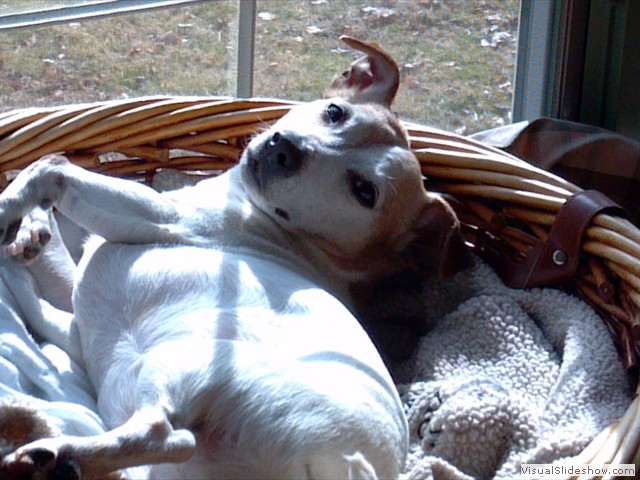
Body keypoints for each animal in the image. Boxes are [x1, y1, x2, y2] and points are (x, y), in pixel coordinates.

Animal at [0, 35, 470, 478]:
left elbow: (52, 167)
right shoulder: (73, 326)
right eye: (335, 112)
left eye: (365, 192)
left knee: (166, 434)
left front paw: (10, 207)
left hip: (184, 365)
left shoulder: (160, 217)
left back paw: (47, 455)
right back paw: (51, 460)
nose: (284, 148)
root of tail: (343, 462)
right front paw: (27, 232)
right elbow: (39, 294)